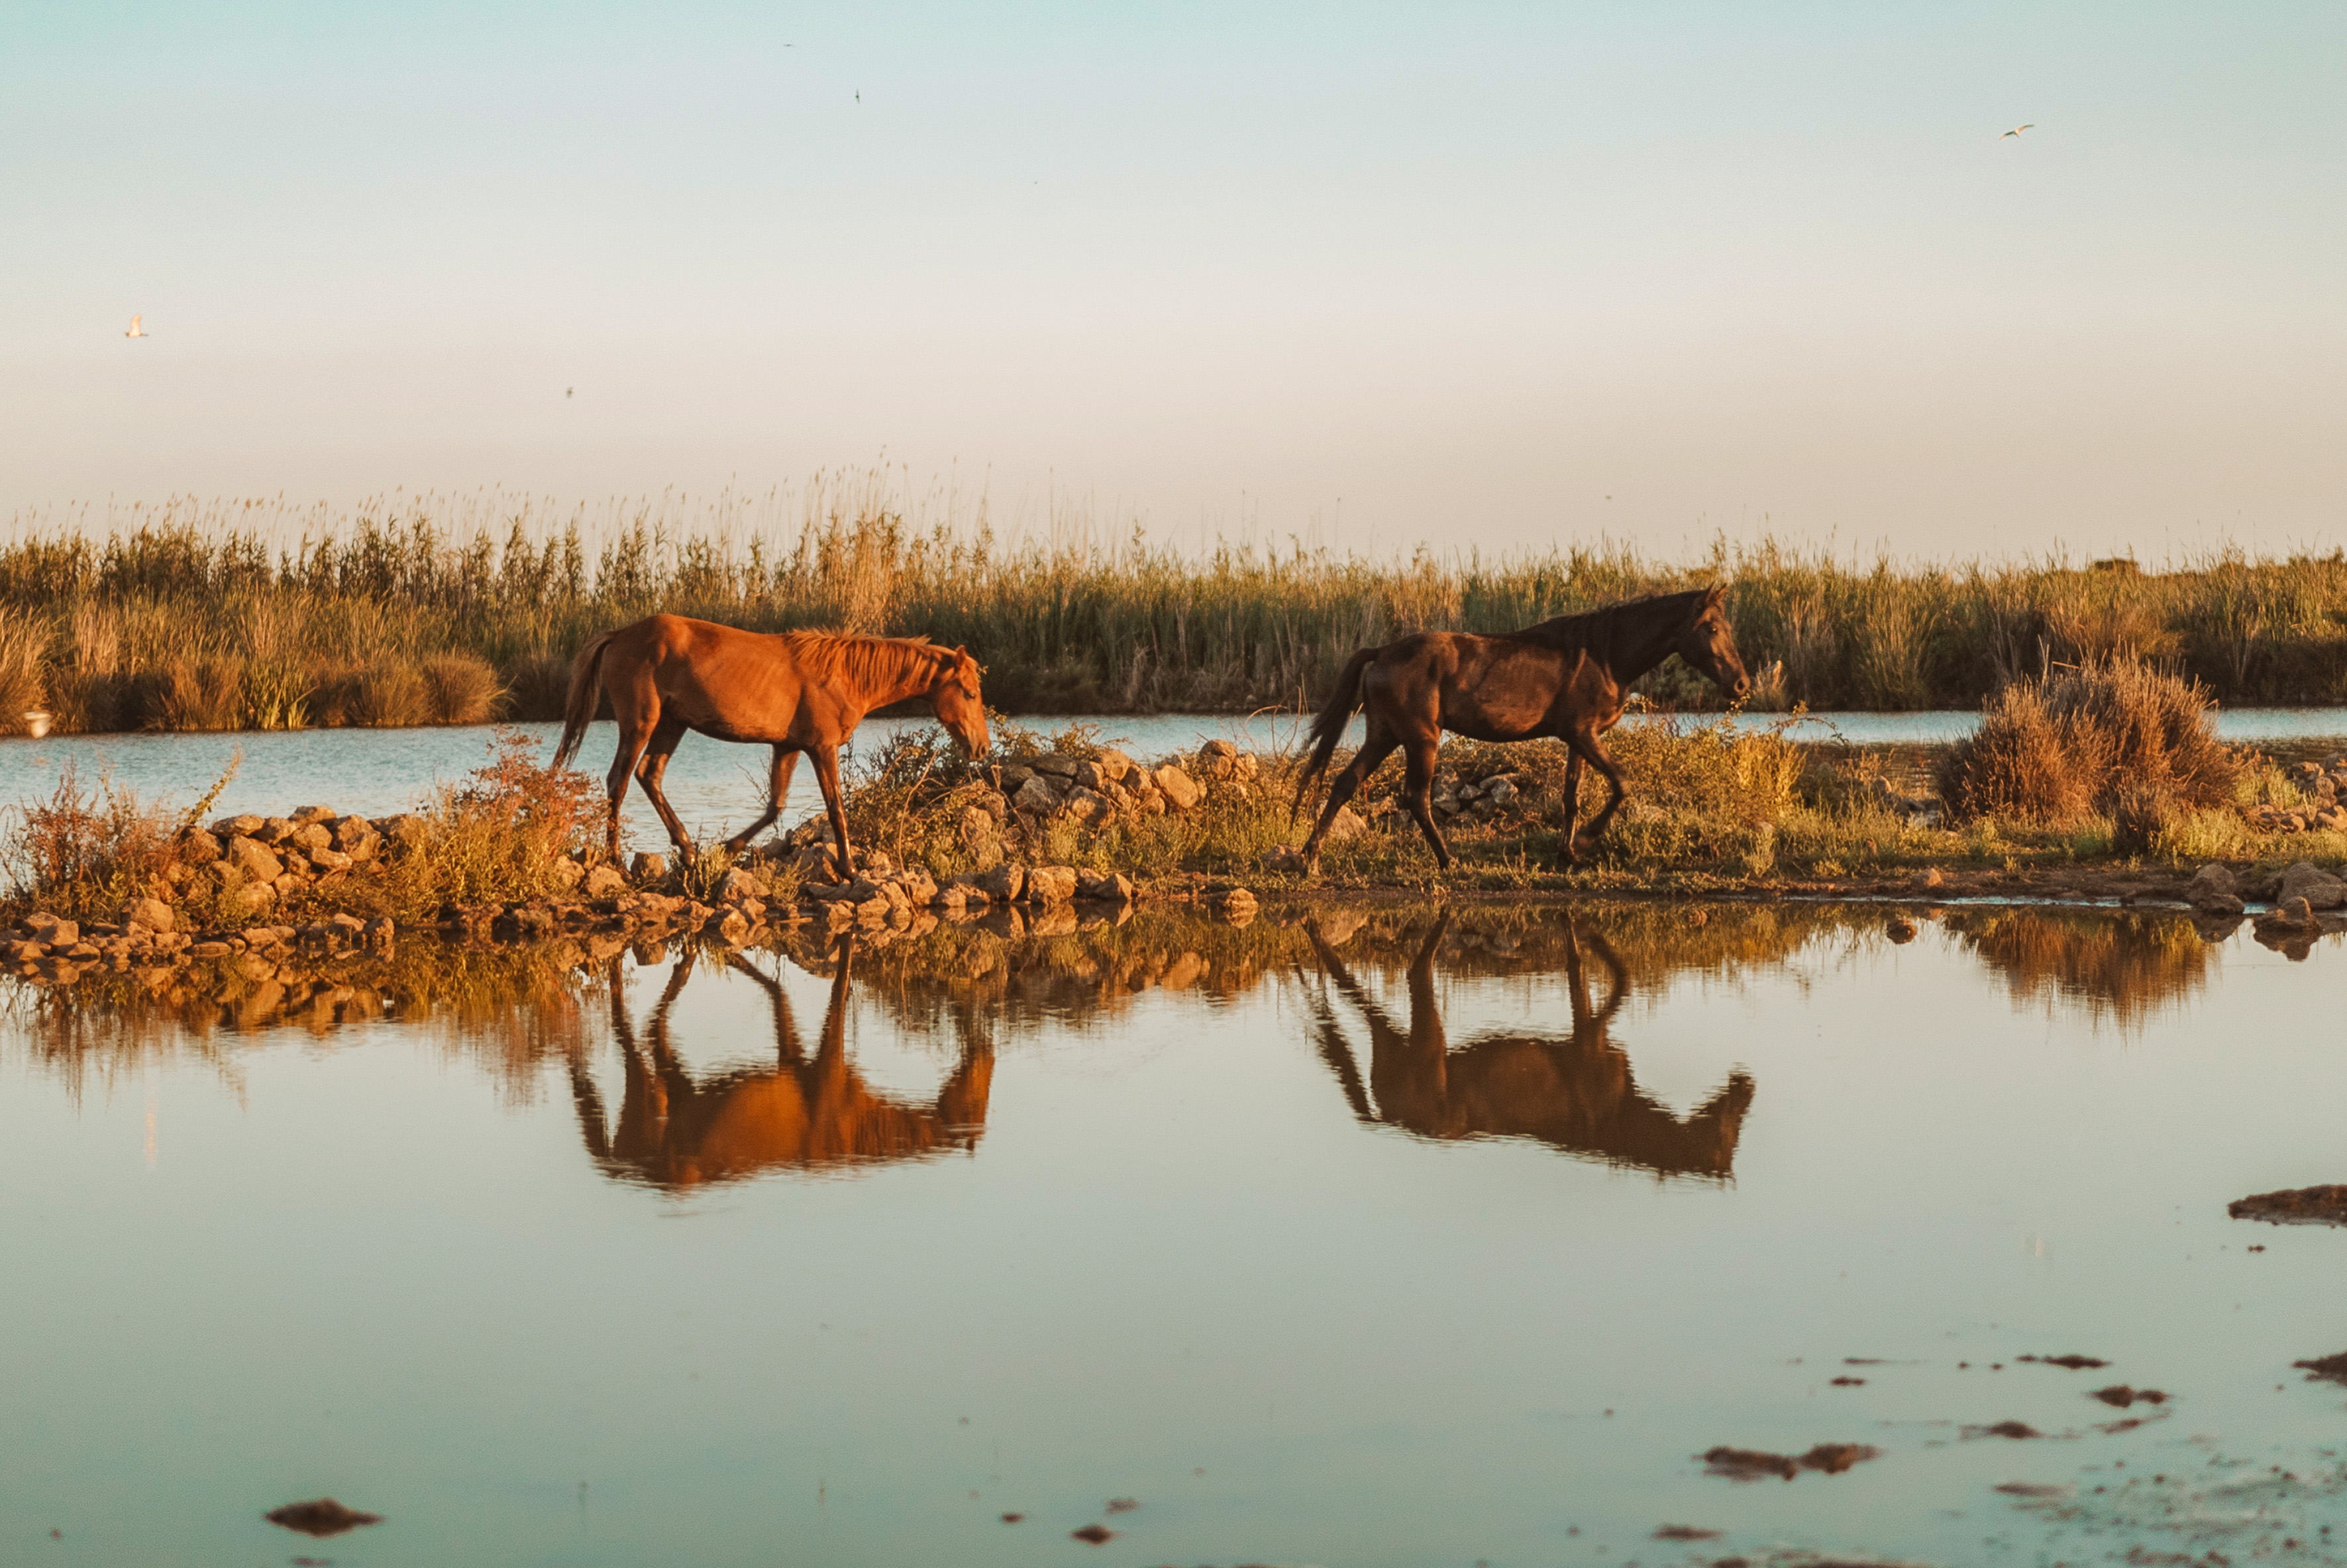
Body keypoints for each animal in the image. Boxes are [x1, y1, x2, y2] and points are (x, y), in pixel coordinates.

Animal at [553, 613, 989, 875]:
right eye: (969, 693)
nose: (981, 748)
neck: (845, 676)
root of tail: (619, 635)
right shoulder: (822, 748)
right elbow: (836, 809)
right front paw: (849, 869)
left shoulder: (789, 747)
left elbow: (774, 807)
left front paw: (728, 848)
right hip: (640, 723)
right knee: (619, 781)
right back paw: (616, 859)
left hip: (672, 724)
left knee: (649, 776)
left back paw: (689, 850)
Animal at [1291, 585, 1749, 871]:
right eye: (1712, 628)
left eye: (1728, 627)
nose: (1742, 684)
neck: (1606, 655)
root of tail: (1382, 651)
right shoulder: (1585, 734)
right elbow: (1622, 784)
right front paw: (1586, 840)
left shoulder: (1577, 738)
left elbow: (1571, 797)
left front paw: (1568, 854)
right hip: (1422, 740)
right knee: (1416, 798)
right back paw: (1448, 860)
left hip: (1384, 735)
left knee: (1344, 783)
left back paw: (1310, 858)